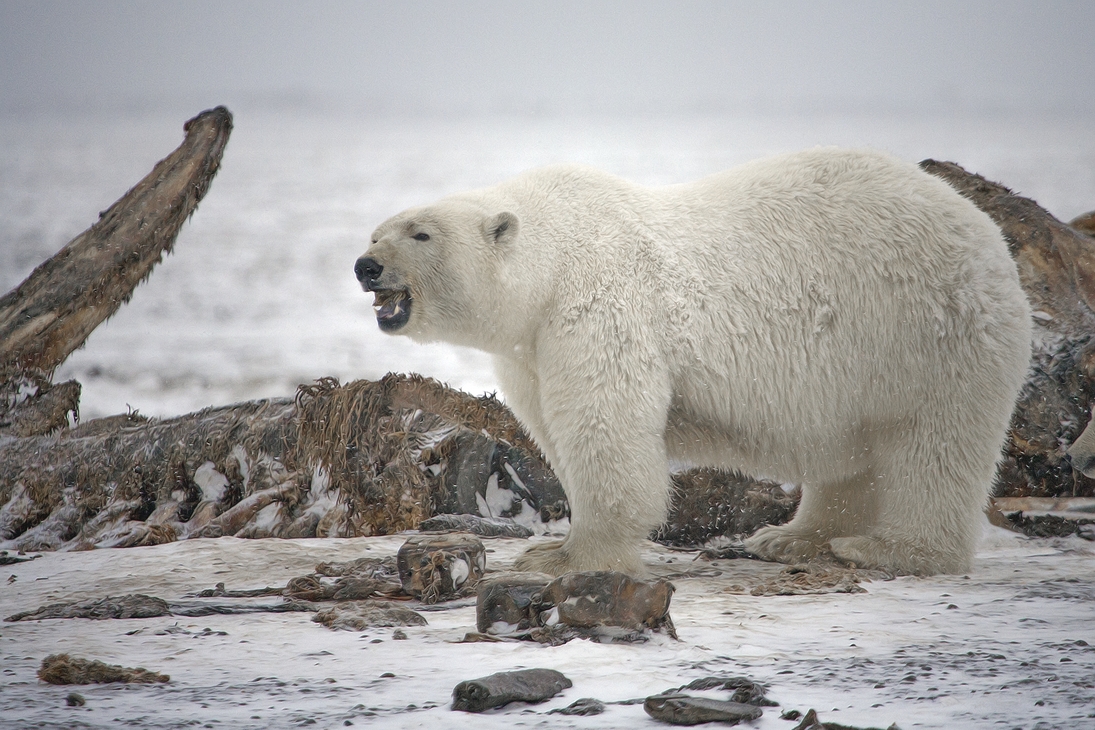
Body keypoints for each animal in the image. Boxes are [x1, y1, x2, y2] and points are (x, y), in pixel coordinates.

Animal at [354, 149, 1029, 577]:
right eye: (375, 232)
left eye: (420, 234)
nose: (366, 266)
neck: (556, 256)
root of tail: (989, 238)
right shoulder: (531, 347)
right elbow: (554, 426)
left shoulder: (598, 305)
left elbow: (607, 429)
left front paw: (564, 555)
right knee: (852, 452)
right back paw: (791, 538)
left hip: (932, 336)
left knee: (934, 446)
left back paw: (886, 550)